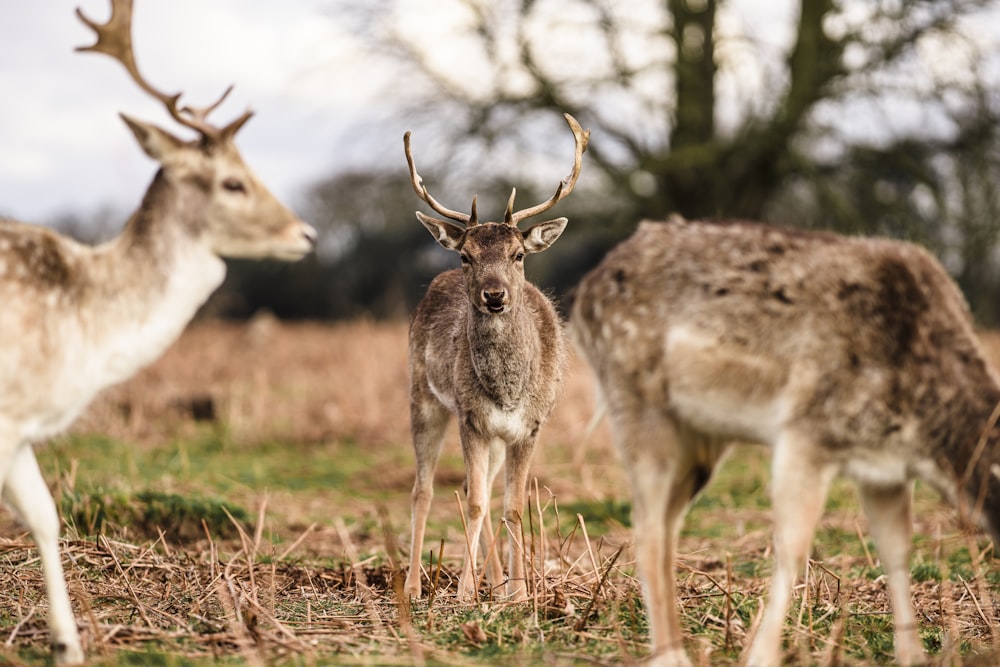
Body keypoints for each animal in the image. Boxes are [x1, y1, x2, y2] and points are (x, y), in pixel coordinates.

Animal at [398, 113, 584, 600]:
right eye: (467, 255)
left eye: (518, 254)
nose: (494, 295)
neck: (508, 391)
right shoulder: (471, 418)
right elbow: (477, 502)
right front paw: (464, 592)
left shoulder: (530, 426)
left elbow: (513, 506)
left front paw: (518, 592)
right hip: (422, 396)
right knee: (425, 490)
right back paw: (413, 585)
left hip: (495, 436)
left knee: (473, 487)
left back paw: (496, 582)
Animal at [572, 215, 1000, 667]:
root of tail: (581, 294)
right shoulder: (806, 433)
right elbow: (793, 547)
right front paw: (760, 655)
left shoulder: (885, 470)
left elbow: (897, 550)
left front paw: (912, 656)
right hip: (635, 400)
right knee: (647, 524)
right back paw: (670, 656)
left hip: (700, 438)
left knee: (668, 522)